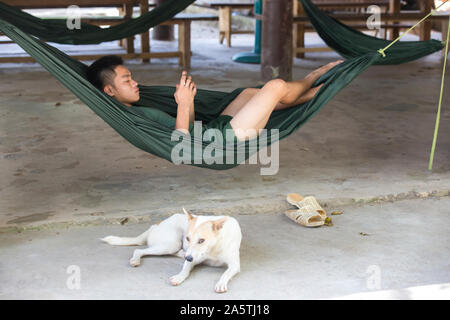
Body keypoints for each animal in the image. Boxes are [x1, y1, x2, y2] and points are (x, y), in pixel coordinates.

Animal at [101, 208, 243, 292]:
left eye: (201, 240)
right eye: (187, 238)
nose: (188, 258)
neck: (213, 247)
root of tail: (154, 226)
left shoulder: (234, 265)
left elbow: (226, 273)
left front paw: (221, 283)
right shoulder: (192, 258)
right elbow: (185, 269)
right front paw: (179, 277)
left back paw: (182, 253)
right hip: (171, 244)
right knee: (139, 251)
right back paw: (136, 260)